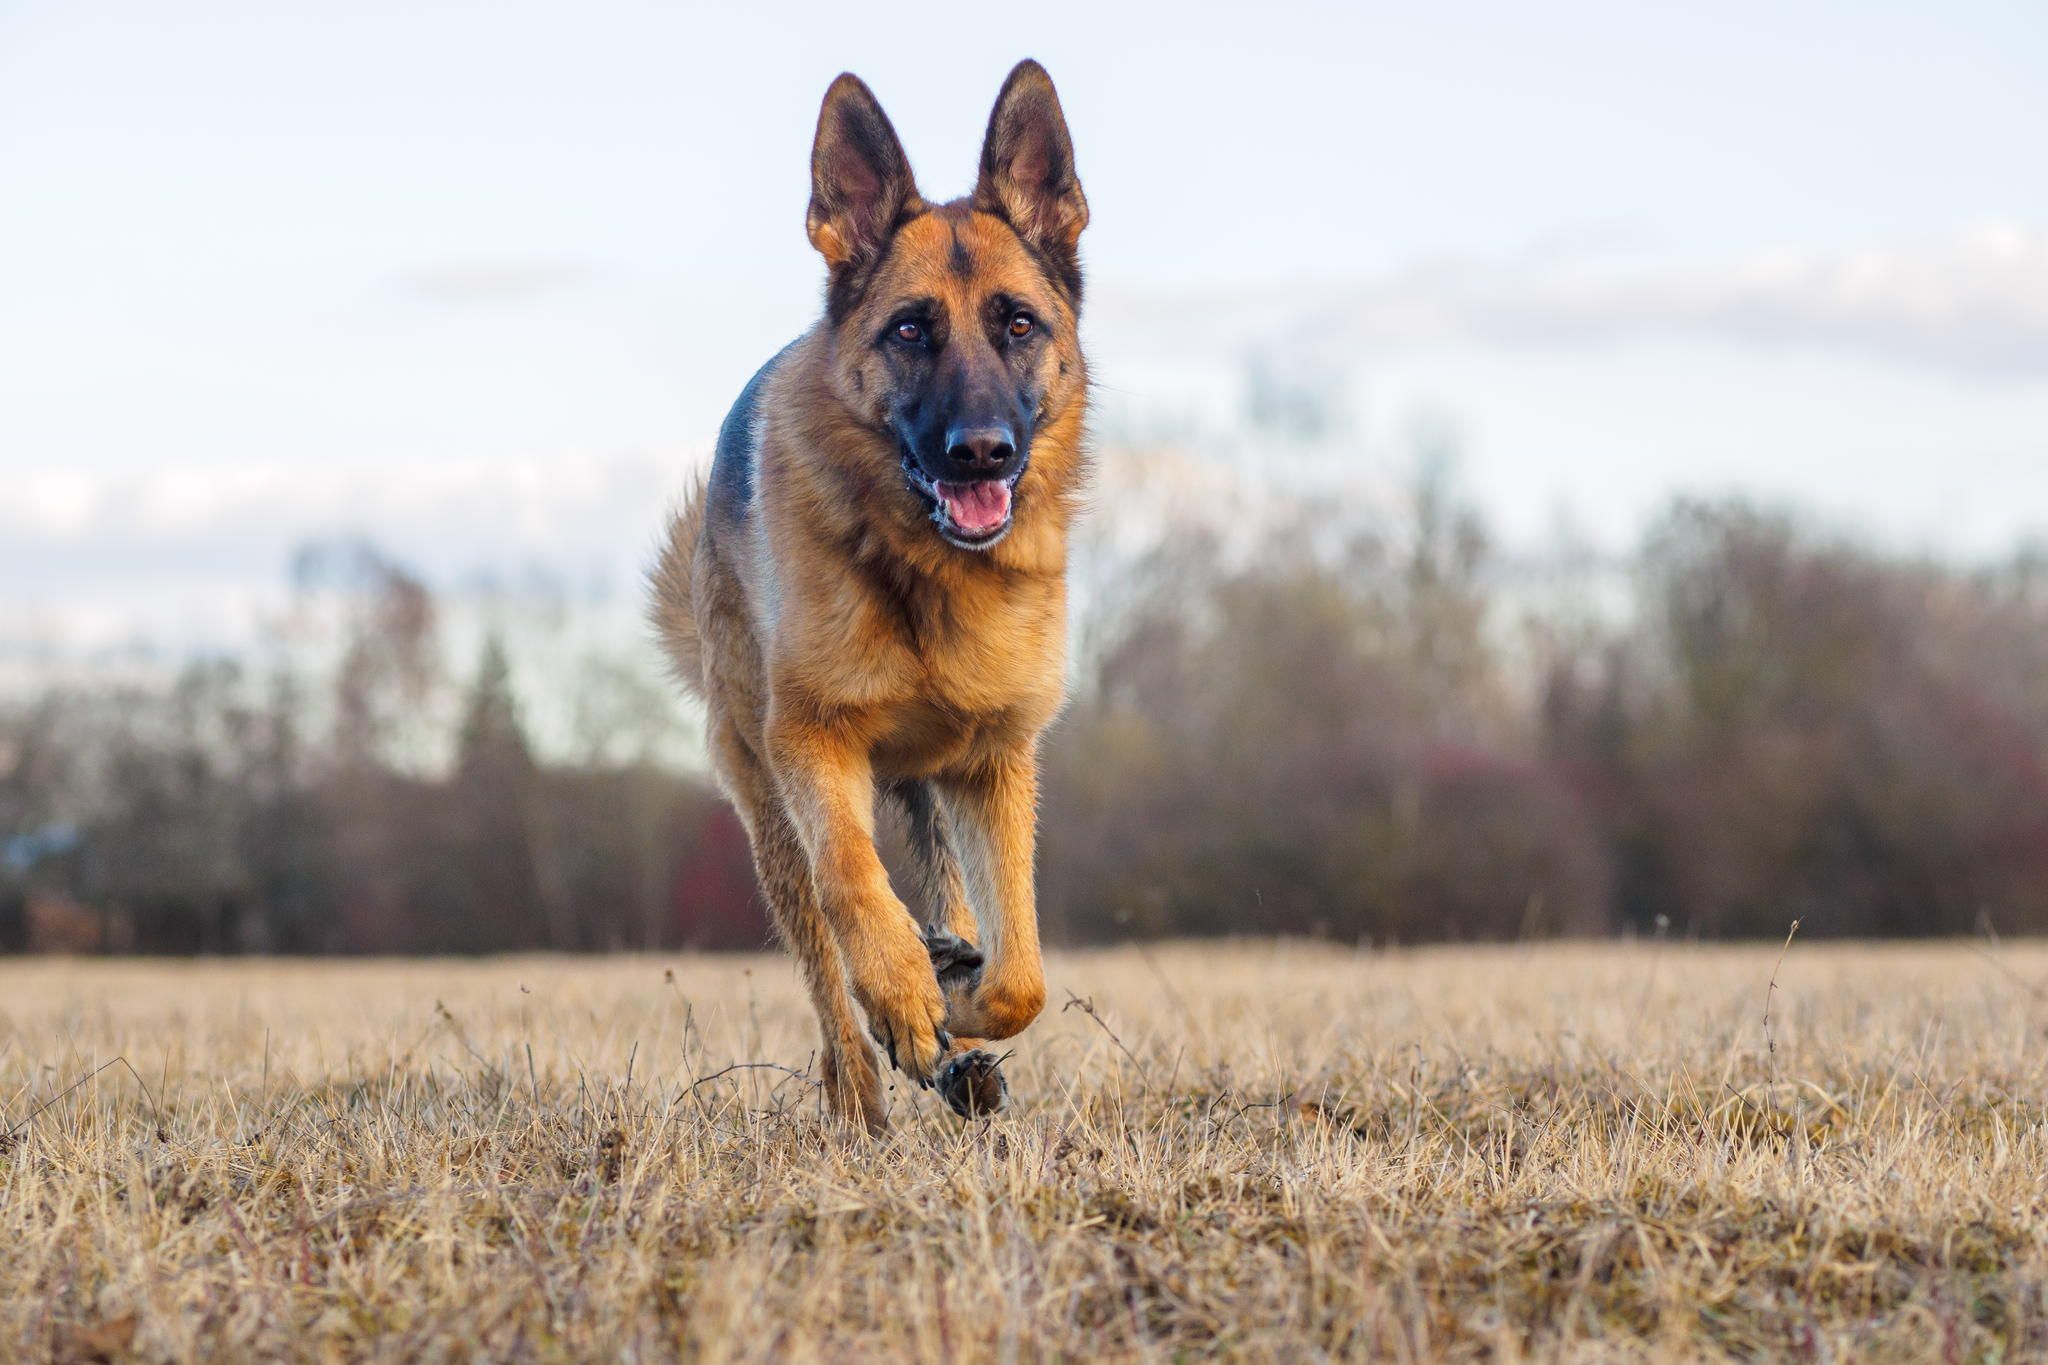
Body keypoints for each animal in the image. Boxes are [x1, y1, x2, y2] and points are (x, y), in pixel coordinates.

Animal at [651, 61, 1089, 1129]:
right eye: (910, 329)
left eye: (1019, 323)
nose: (983, 452)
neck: (929, 573)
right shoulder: (813, 739)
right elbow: (854, 879)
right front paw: (902, 992)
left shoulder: (995, 766)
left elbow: (1021, 971)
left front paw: (959, 998)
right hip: (767, 806)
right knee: (822, 951)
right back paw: (861, 1084)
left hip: (931, 795)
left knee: (954, 903)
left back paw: (952, 1037)